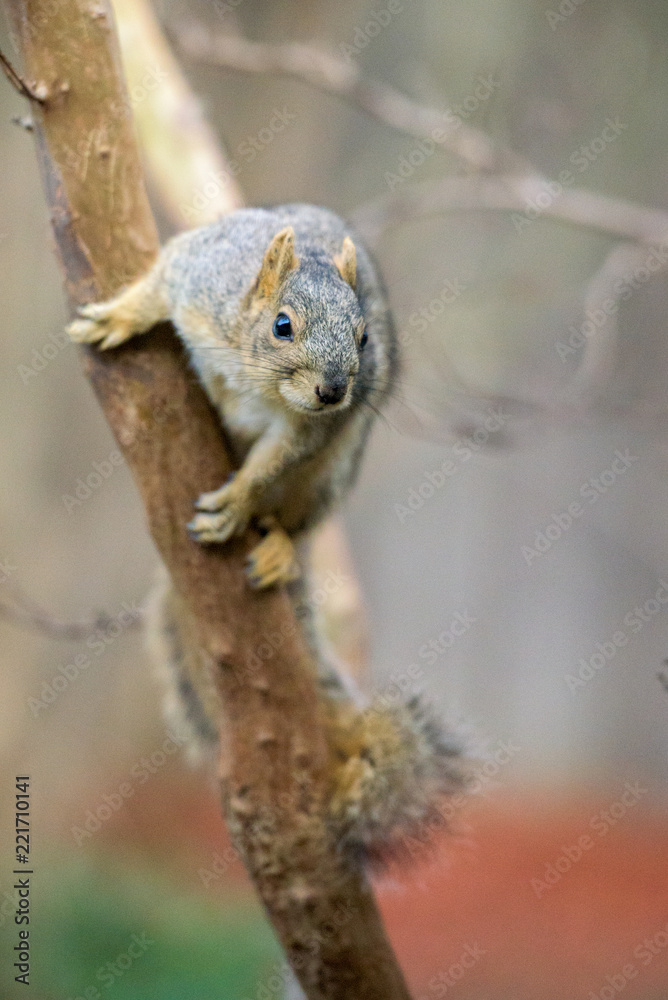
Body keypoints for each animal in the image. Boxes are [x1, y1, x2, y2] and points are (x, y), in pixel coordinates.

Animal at [68, 203, 469, 862]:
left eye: (365, 337)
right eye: (283, 326)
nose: (334, 390)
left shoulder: (307, 432)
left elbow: (273, 462)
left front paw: (237, 501)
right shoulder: (200, 278)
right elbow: (163, 278)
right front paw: (120, 315)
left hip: (333, 469)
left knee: (295, 514)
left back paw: (279, 544)